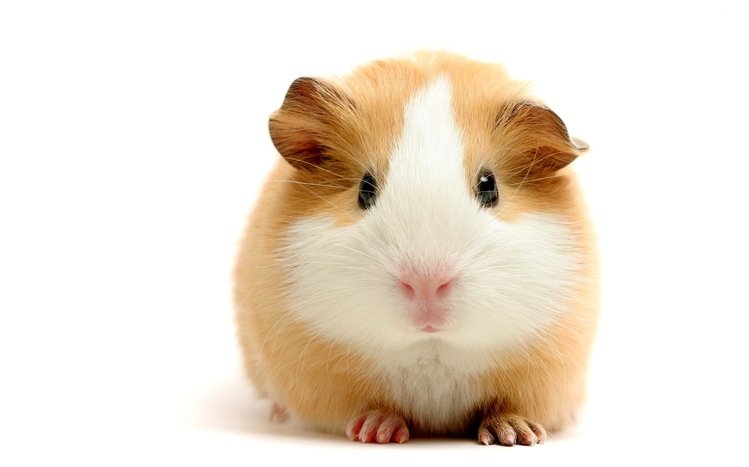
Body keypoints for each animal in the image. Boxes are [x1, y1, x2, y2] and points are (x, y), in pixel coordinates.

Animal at [234, 51, 598, 446]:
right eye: (365, 189)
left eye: (489, 187)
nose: (426, 284)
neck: (431, 349)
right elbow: (370, 407)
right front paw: (376, 431)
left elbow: (507, 406)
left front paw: (518, 435)